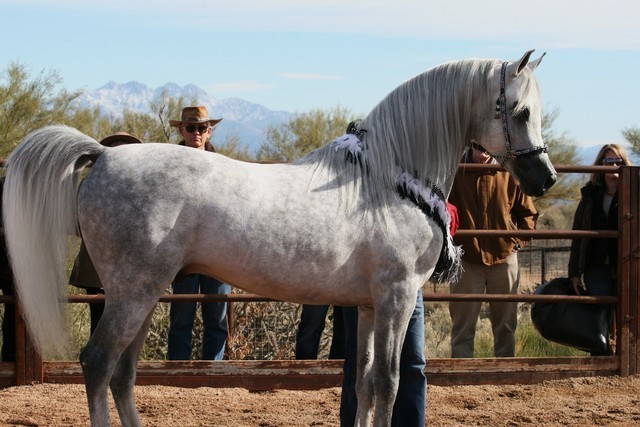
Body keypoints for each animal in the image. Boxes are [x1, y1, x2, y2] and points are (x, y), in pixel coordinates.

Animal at [2, 49, 556, 426]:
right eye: (520, 112)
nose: (545, 178)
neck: (387, 178)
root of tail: (105, 154)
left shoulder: (370, 305)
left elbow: (363, 382)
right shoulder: (397, 298)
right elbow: (388, 382)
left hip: (142, 293)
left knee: (122, 372)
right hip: (131, 292)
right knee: (98, 365)